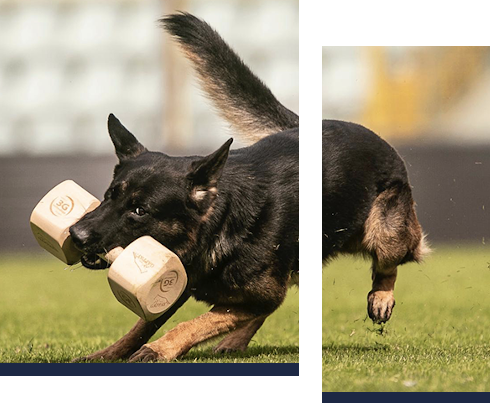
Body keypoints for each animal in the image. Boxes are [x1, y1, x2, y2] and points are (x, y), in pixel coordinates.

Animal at [68, 12, 298, 362]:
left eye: (140, 210)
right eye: (109, 196)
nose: (76, 234)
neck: (220, 224)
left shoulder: (263, 293)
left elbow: (198, 322)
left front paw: (158, 349)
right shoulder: (173, 280)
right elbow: (143, 323)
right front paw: (109, 353)